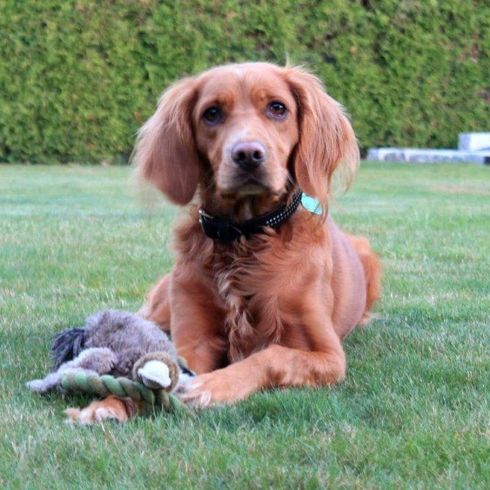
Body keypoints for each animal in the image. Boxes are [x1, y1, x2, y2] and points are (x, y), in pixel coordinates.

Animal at [72, 62, 381, 423]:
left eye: (278, 108)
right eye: (212, 113)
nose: (247, 155)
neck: (243, 237)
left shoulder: (328, 355)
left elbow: (272, 355)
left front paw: (213, 385)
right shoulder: (194, 339)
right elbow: (165, 364)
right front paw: (109, 403)